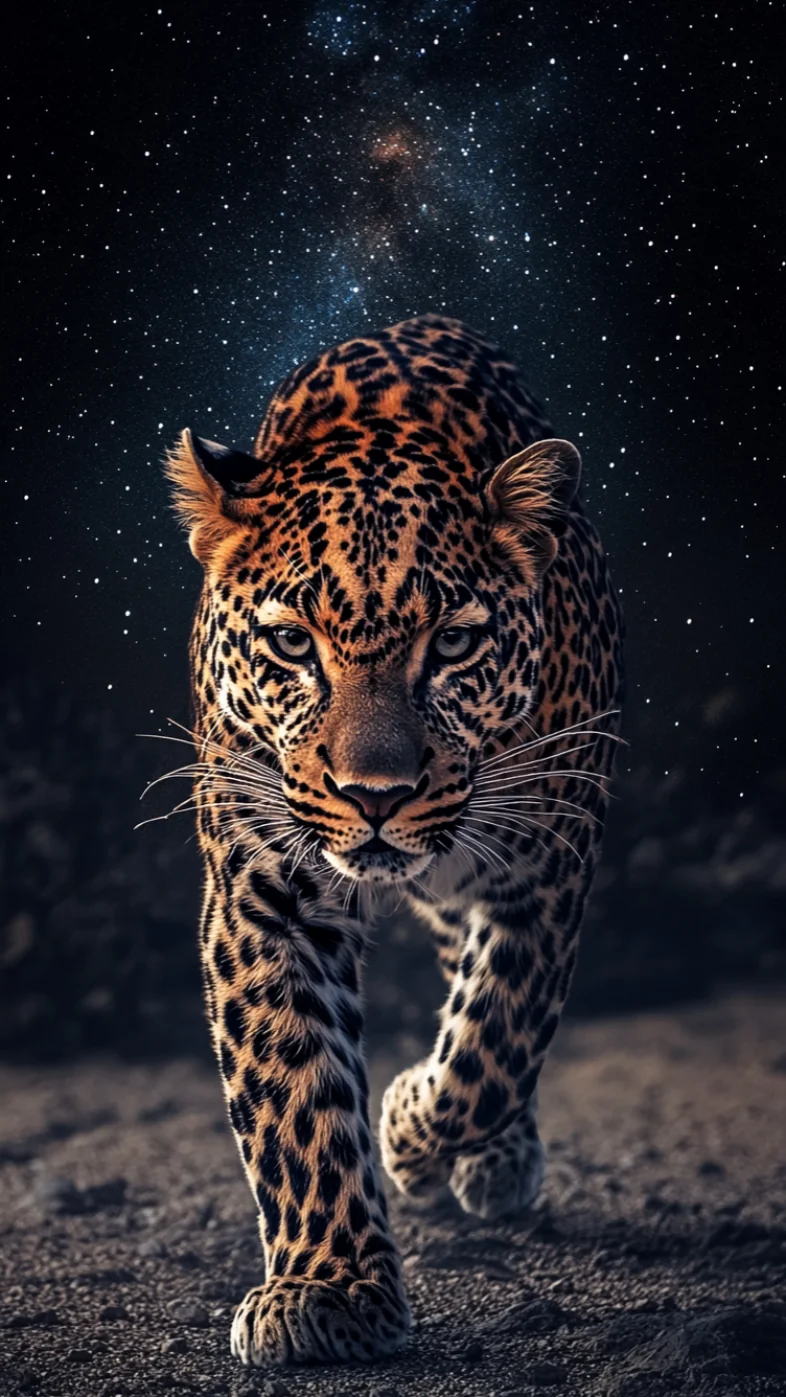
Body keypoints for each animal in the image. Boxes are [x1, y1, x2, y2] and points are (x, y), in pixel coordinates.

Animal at [164, 312, 624, 1367]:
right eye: (293, 644)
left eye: (452, 643)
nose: (375, 795)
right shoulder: (262, 890)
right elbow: (293, 1090)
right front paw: (328, 1288)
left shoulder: (550, 861)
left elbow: (498, 1033)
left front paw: (413, 1126)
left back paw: (482, 1152)